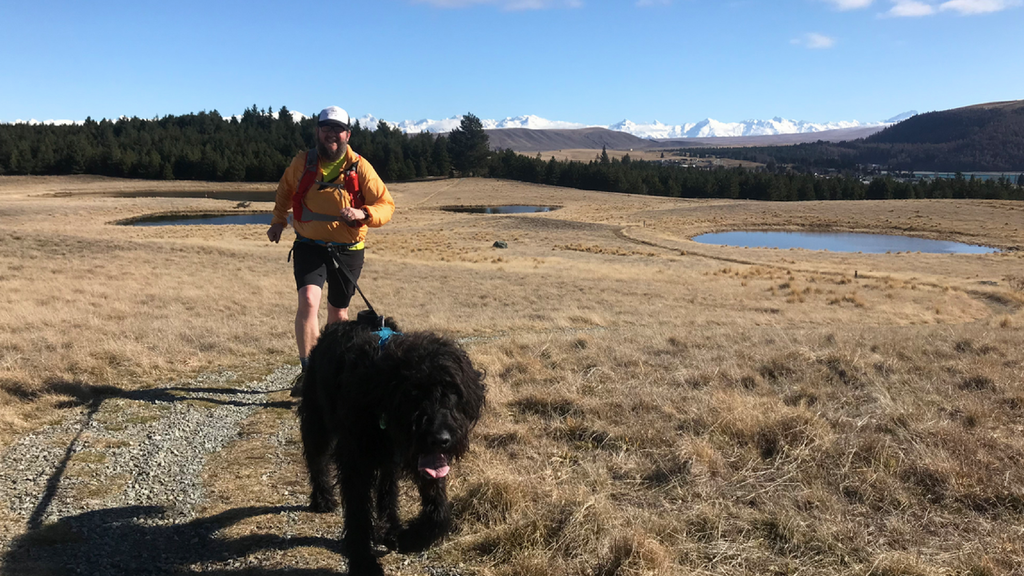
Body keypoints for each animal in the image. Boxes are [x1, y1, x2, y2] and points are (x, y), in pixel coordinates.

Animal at [299, 313, 485, 573]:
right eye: (413, 394)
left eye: (454, 392)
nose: (441, 439)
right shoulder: (356, 461)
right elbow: (358, 512)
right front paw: (363, 563)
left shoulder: (423, 458)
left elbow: (438, 510)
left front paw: (410, 538)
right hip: (317, 421)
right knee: (316, 459)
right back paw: (322, 498)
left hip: (389, 459)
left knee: (387, 488)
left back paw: (391, 527)